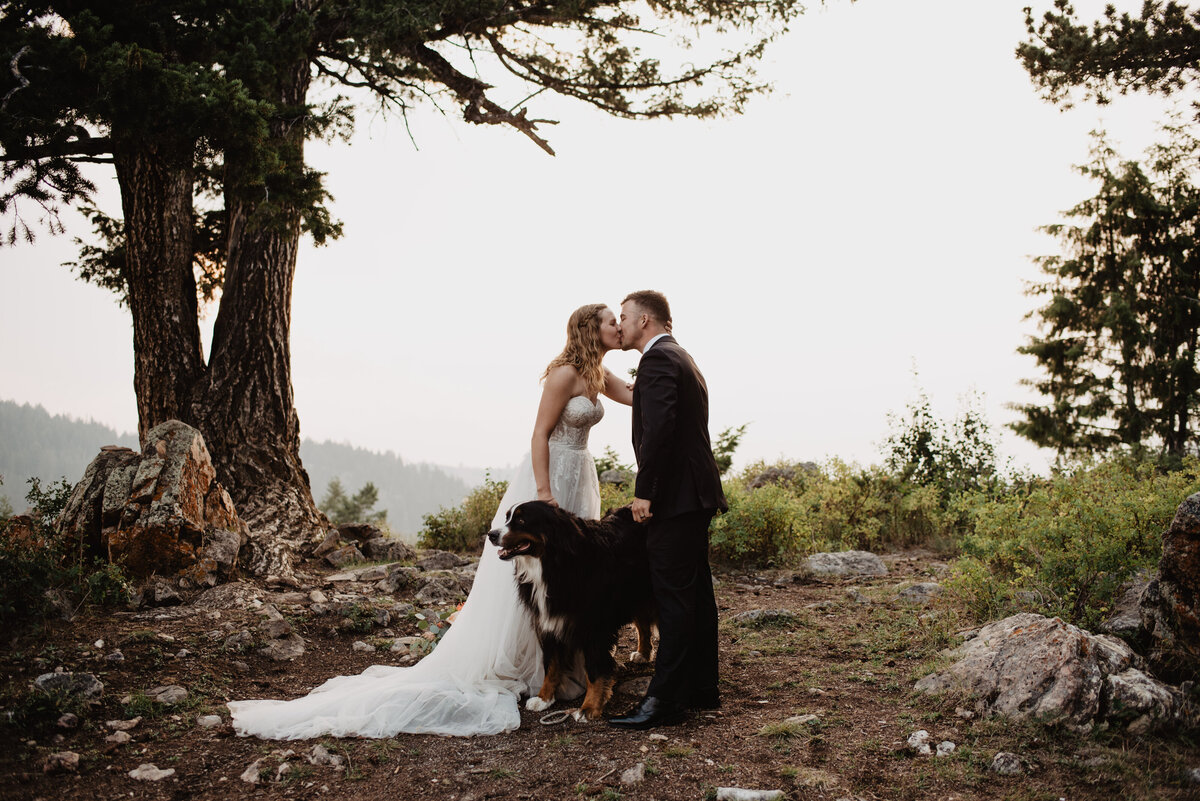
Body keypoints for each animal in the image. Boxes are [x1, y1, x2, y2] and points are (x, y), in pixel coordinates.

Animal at [487, 501, 657, 719]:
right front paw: (544, 699)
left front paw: (589, 707)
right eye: (507, 517)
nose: (491, 534)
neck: (552, 564)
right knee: (642, 623)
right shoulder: (548, 623)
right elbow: (551, 666)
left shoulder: (594, 627)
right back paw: (643, 653)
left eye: (521, 520)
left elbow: (594, 669)